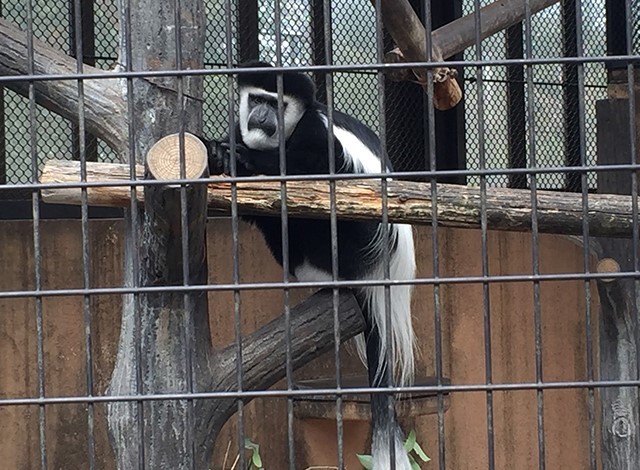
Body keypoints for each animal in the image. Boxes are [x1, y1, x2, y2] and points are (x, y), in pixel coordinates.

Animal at [202, 61, 418, 466]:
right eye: (257, 99)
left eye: (277, 104)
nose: (262, 117)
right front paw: (219, 154)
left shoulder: (316, 136)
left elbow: (316, 166)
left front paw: (239, 159)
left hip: (358, 243)